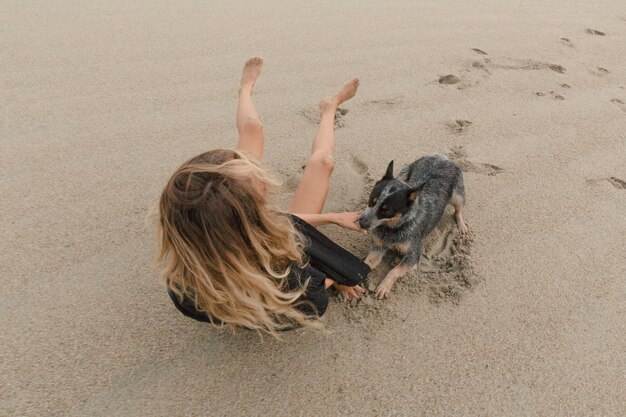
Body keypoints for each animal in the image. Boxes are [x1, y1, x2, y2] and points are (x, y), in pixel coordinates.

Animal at [358, 154, 466, 298]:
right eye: (371, 200)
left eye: (386, 211)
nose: (362, 223)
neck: (394, 227)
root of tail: (441, 158)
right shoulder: (378, 247)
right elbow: (367, 263)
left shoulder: (414, 254)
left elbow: (395, 270)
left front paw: (384, 286)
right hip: (403, 174)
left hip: (457, 194)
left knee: (458, 208)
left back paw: (461, 225)